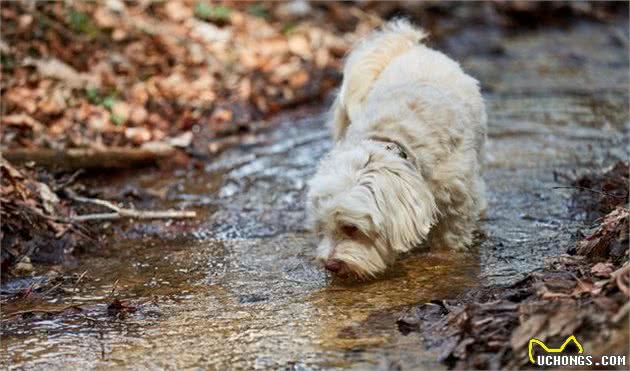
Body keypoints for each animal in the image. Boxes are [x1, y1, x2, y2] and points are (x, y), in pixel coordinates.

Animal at [306, 20, 488, 280]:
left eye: (351, 228)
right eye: (321, 228)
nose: (330, 265)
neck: (394, 136)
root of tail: (408, 46)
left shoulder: (456, 199)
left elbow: (450, 237)